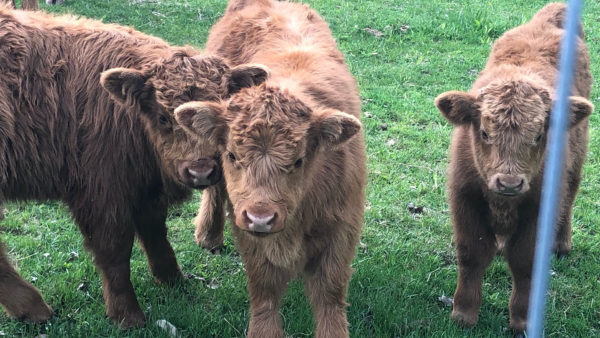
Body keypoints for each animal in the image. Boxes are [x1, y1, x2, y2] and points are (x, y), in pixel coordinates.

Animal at [0, 7, 264, 328]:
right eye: (163, 117)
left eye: (219, 115)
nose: (200, 171)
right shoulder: (101, 192)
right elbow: (115, 252)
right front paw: (126, 314)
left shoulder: (145, 188)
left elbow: (155, 232)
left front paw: (172, 279)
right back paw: (36, 307)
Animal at [176, 1, 368, 336]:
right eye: (232, 155)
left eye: (298, 160)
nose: (261, 218)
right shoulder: (249, 234)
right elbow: (264, 291)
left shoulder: (341, 229)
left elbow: (329, 295)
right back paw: (208, 235)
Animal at [434, 1, 592, 332]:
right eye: (484, 132)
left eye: (539, 135)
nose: (509, 183)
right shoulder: (465, 199)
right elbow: (472, 254)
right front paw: (463, 313)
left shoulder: (539, 209)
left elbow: (525, 262)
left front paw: (522, 319)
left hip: (577, 157)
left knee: (571, 194)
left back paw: (562, 243)